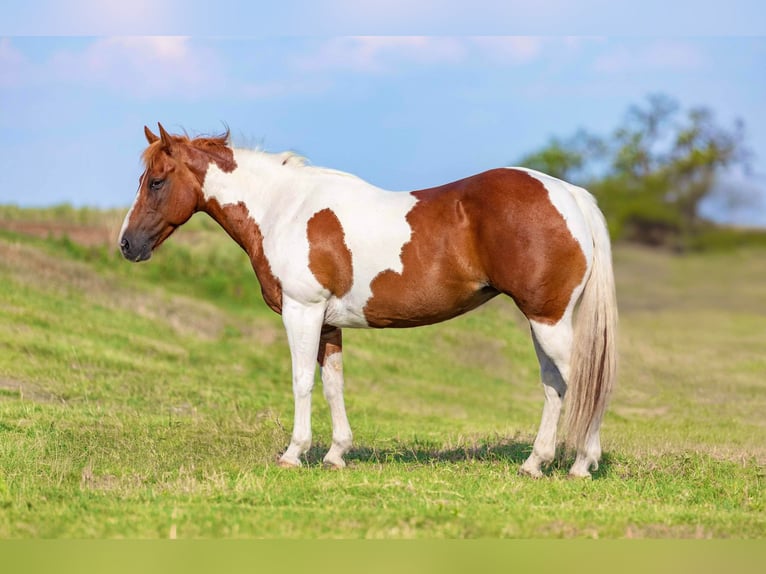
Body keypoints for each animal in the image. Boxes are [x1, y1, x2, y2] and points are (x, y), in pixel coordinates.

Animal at [119, 123, 618, 478]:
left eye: (157, 182)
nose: (127, 245)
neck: (284, 208)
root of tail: (568, 193)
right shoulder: (327, 322)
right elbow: (333, 384)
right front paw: (336, 454)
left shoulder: (302, 312)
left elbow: (302, 381)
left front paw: (294, 453)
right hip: (543, 321)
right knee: (554, 385)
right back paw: (535, 463)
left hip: (548, 319)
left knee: (583, 381)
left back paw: (580, 464)